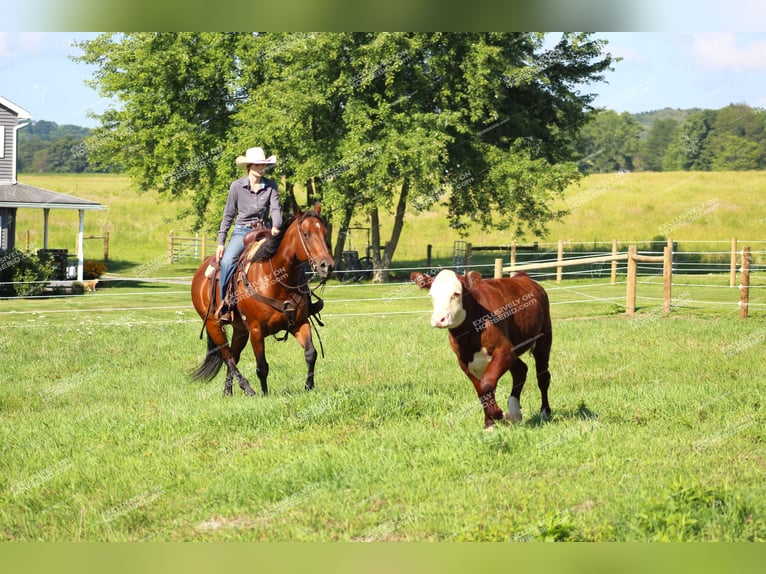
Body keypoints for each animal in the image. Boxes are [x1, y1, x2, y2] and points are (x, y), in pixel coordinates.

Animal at [191, 205, 332, 398]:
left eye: (325, 232)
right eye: (306, 234)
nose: (327, 265)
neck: (276, 280)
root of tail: (201, 270)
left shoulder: (299, 323)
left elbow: (311, 353)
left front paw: (309, 387)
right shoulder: (256, 330)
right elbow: (262, 366)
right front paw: (265, 394)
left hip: (240, 330)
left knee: (233, 355)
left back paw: (228, 392)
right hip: (214, 325)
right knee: (228, 357)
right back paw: (248, 389)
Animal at [414, 272, 552, 430]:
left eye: (456, 294)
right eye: (431, 295)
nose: (438, 319)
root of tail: (523, 276)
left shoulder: (504, 350)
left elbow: (487, 384)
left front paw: (500, 415)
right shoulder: (464, 361)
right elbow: (482, 392)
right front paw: (490, 424)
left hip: (544, 338)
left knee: (543, 376)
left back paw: (544, 412)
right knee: (521, 370)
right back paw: (515, 412)